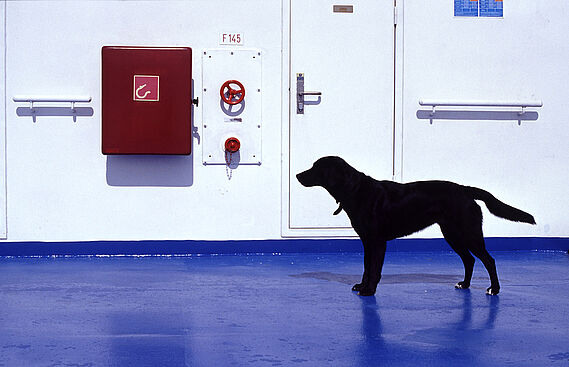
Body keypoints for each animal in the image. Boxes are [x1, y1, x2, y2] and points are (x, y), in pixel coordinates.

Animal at [296, 156, 536, 296]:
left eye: (315, 167)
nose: (297, 175)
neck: (355, 190)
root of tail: (465, 190)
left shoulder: (378, 242)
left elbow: (374, 270)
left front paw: (369, 290)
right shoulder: (366, 242)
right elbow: (366, 268)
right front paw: (362, 287)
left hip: (469, 234)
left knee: (489, 260)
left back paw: (494, 289)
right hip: (452, 235)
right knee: (469, 260)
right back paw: (464, 285)